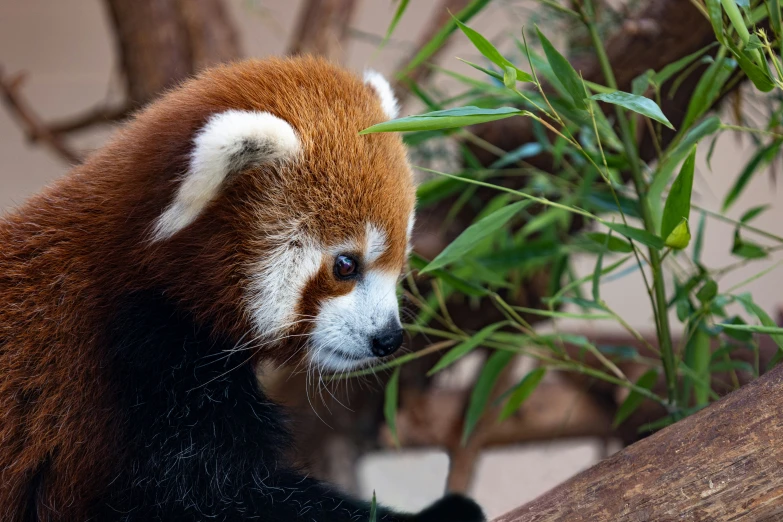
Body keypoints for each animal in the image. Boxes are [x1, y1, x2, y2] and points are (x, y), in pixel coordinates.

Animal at [0, 57, 484, 520]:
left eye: (402, 261)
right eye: (346, 265)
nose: (388, 338)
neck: (147, 279)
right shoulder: (140, 366)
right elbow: (211, 497)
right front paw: (440, 512)